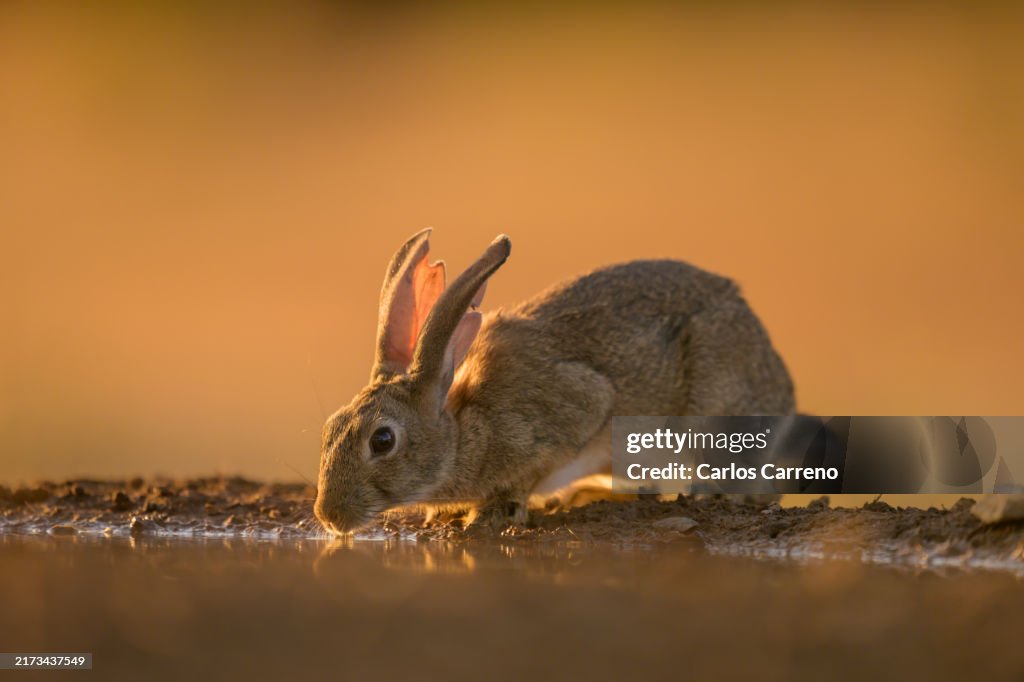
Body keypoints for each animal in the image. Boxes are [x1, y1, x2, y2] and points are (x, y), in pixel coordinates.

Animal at [314, 229, 795, 534]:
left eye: (382, 440)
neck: (467, 429)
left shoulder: (578, 409)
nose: (329, 516)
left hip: (712, 418)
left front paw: (490, 513)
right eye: (330, 427)